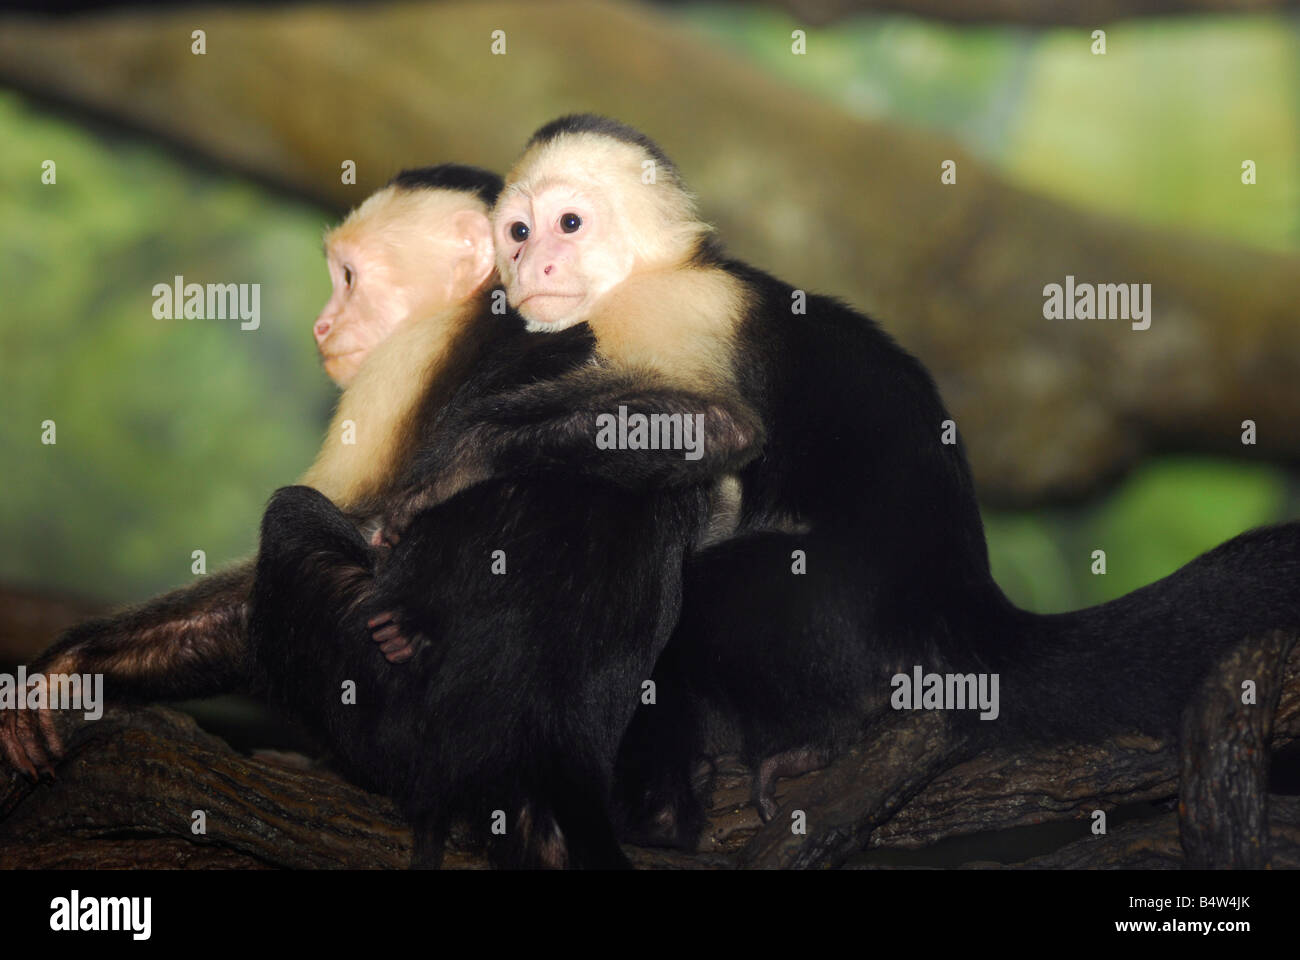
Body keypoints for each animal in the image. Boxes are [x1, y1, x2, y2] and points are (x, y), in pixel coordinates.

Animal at [379, 117, 1300, 842]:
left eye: (569, 224)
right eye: (518, 232)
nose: (533, 268)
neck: (649, 279)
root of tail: (963, 606)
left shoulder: (673, 317)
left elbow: (720, 438)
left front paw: (454, 468)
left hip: (831, 616)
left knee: (716, 590)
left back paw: (827, 736)